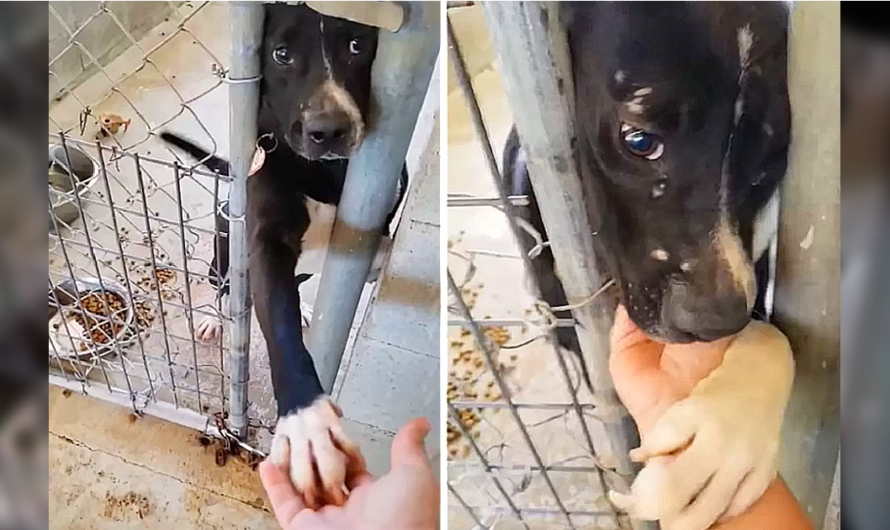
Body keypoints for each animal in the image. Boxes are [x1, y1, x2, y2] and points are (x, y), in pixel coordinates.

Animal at [160, 5, 406, 508]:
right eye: (281, 54)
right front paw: (308, 421)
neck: (323, 172)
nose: (328, 130)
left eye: (357, 45)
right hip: (223, 256)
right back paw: (215, 317)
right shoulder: (266, 244)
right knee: (224, 287)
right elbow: (278, 323)